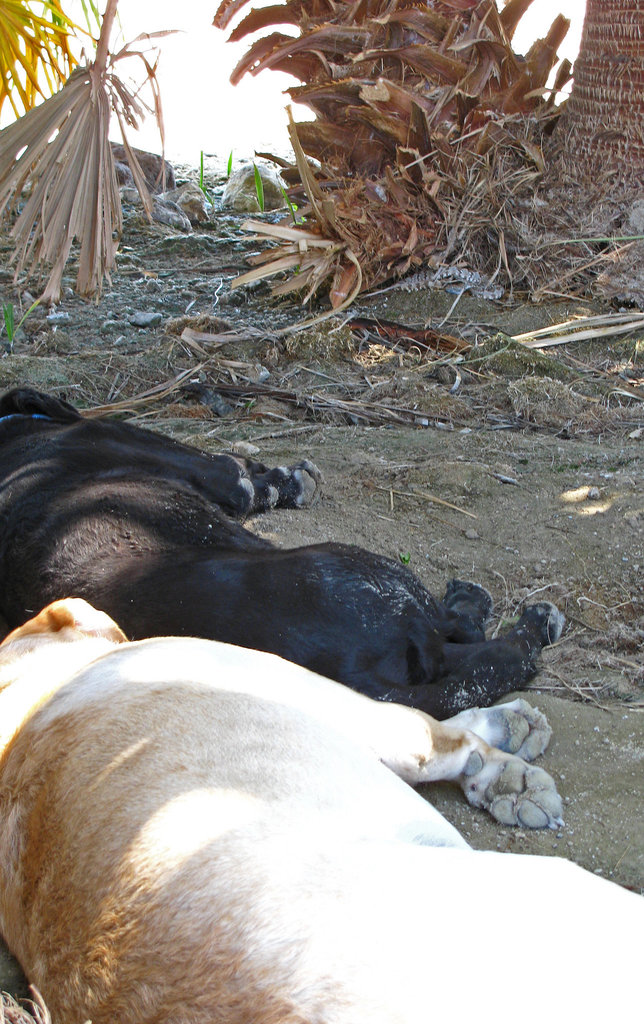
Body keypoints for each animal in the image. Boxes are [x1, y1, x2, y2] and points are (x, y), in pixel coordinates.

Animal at [0, 387, 561, 716]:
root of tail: (356, 675)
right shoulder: (167, 451)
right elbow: (235, 473)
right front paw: (283, 480)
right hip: (374, 573)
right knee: (485, 645)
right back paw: (522, 619)